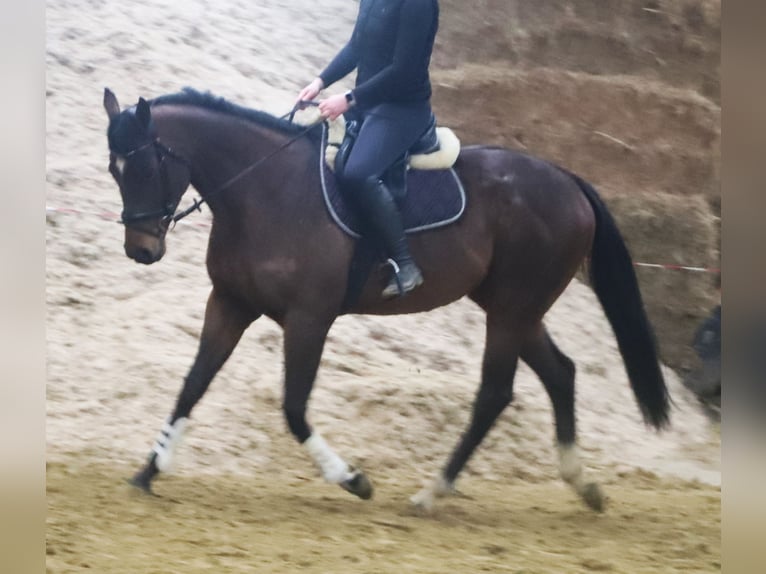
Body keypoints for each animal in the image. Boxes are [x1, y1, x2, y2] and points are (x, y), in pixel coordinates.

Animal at [102, 87, 670, 512]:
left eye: (145, 169)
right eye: (114, 171)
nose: (141, 251)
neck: (265, 190)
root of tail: (568, 180)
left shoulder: (309, 318)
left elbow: (293, 408)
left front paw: (353, 479)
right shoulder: (229, 304)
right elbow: (191, 386)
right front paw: (148, 472)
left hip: (512, 311)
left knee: (495, 393)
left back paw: (432, 493)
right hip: (515, 308)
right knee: (560, 373)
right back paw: (581, 483)